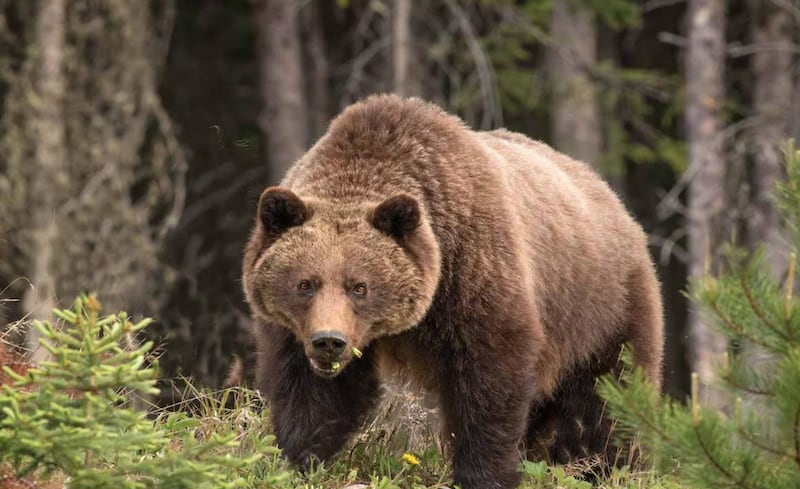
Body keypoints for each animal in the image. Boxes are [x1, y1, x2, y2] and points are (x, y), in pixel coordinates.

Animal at [242, 93, 664, 486]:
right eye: (305, 283)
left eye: (359, 286)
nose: (329, 341)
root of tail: (614, 200)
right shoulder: (295, 332)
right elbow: (312, 394)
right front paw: (299, 460)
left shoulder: (474, 275)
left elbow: (489, 383)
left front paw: (484, 473)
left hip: (602, 309)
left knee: (608, 400)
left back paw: (613, 467)